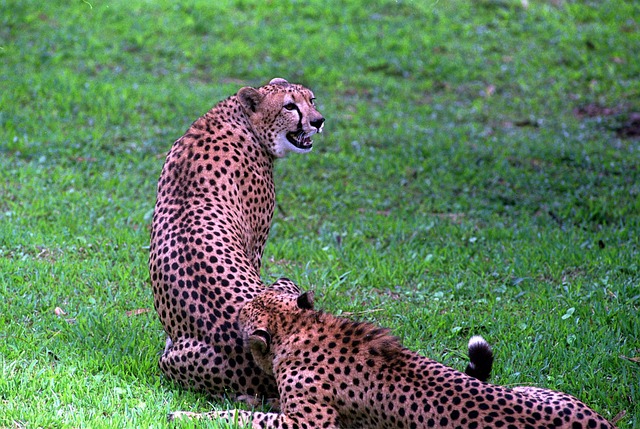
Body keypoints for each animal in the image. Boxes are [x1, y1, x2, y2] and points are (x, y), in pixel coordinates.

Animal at [170, 280, 616, 429]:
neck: (301, 328)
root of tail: (603, 424)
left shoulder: (311, 423)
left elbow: (242, 417)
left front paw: (185, 414)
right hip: (533, 388)